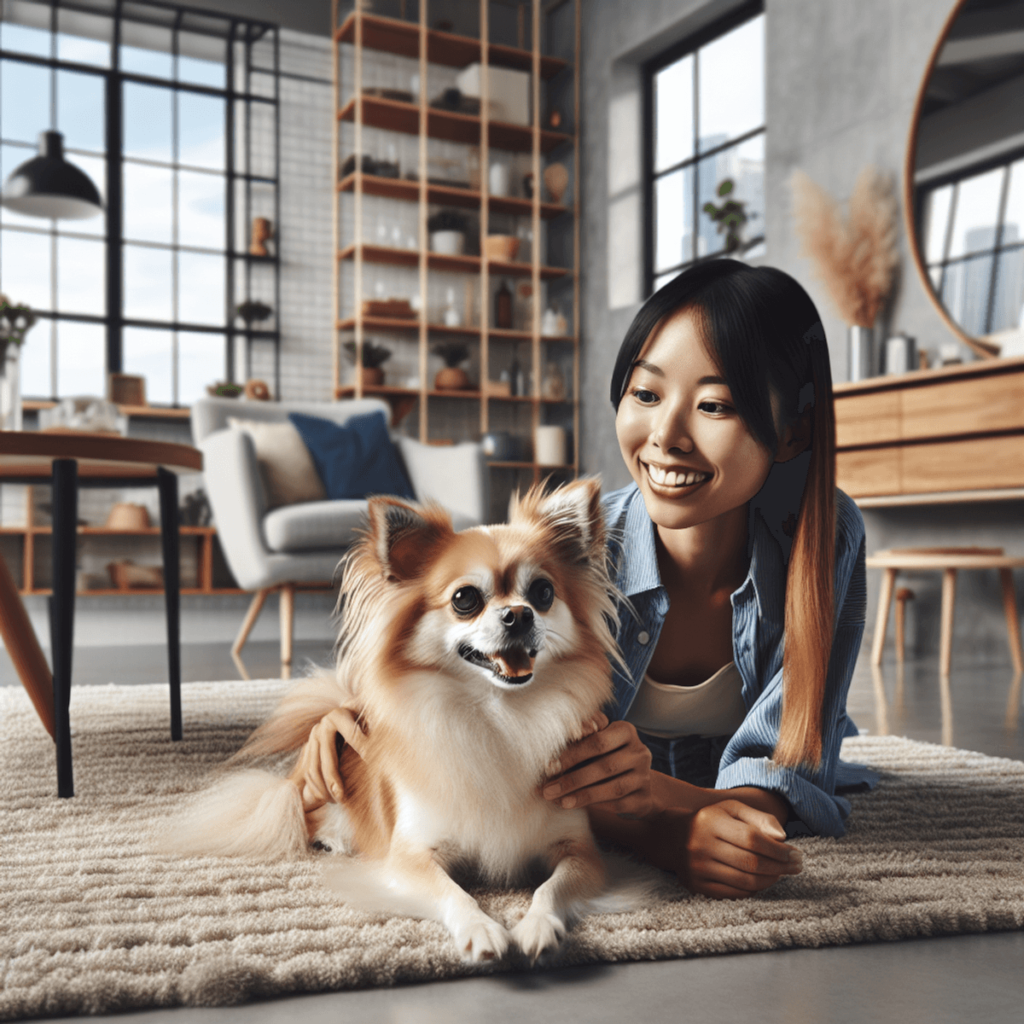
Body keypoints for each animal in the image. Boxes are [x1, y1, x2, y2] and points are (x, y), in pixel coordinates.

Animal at [165, 477, 630, 958]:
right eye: (465, 599)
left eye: (542, 593)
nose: (518, 614)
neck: (501, 714)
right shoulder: (411, 856)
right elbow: (455, 894)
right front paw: (480, 929)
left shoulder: (580, 851)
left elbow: (549, 889)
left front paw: (537, 926)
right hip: (309, 796)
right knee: (296, 815)